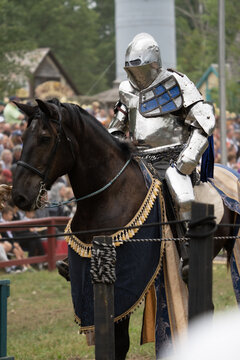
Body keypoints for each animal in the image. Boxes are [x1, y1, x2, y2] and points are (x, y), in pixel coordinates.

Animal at [11, 98, 236, 360]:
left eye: (45, 138)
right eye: (23, 137)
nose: (19, 196)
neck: (108, 195)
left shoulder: (123, 281)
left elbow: (119, 342)